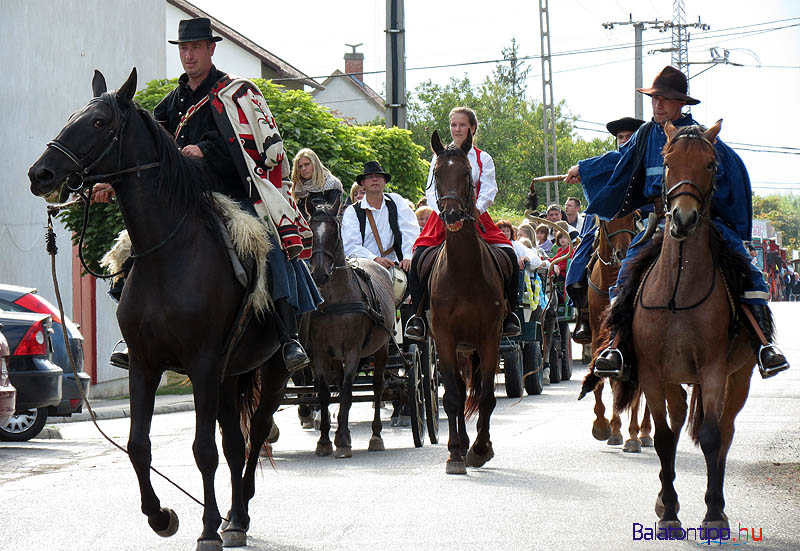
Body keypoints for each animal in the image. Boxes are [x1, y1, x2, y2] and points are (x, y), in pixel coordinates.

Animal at [27, 69, 290, 551]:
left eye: (98, 122)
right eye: (72, 116)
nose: (41, 173)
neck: (170, 251)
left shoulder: (202, 364)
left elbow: (202, 450)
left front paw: (207, 529)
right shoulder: (144, 364)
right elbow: (138, 444)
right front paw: (161, 516)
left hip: (274, 368)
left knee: (256, 433)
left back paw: (237, 515)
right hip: (231, 374)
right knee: (234, 441)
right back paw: (234, 517)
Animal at [304, 197, 396, 458]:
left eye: (335, 232)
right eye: (310, 232)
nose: (319, 274)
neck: (336, 300)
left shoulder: (353, 350)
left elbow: (346, 392)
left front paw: (343, 440)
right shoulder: (321, 352)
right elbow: (325, 393)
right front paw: (325, 440)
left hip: (382, 348)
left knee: (377, 387)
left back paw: (376, 436)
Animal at [584, 216, 652, 452]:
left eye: (634, 216)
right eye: (608, 220)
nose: (623, 252)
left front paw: (632, 436)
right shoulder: (598, 336)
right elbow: (604, 378)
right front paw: (605, 427)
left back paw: (644, 432)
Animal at [612, 119, 756, 532]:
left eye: (711, 164)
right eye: (668, 162)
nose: (683, 218)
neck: (678, 288)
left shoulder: (713, 370)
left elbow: (710, 437)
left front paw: (713, 513)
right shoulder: (652, 372)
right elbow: (663, 438)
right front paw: (669, 511)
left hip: (737, 378)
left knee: (725, 431)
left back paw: (716, 503)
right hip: (674, 380)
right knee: (675, 426)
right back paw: (665, 499)